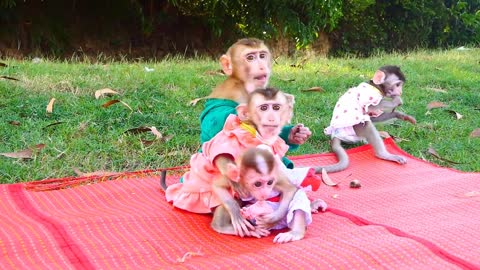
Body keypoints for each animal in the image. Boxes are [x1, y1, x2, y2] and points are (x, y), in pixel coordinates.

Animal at [166, 88, 322, 238]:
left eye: (276, 107)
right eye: (264, 107)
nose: (271, 117)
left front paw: (296, 134)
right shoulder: (240, 134)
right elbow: (220, 150)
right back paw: (223, 225)